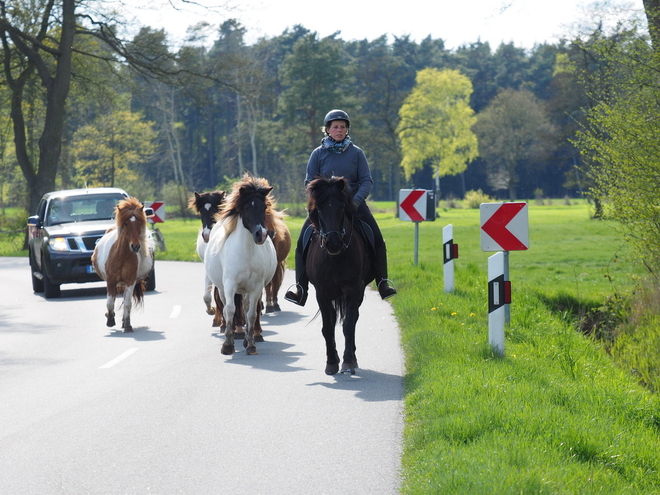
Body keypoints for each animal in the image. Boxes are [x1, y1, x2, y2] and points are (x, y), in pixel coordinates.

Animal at [91, 198, 153, 334]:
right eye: (126, 223)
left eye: (139, 223)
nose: (135, 246)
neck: (121, 256)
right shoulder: (110, 281)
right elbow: (109, 302)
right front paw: (110, 319)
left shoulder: (130, 281)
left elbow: (127, 303)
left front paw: (128, 325)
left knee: (125, 299)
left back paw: (124, 322)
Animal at [306, 176, 374, 374]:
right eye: (320, 209)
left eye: (342, 208)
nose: (333, 243)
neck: (335, 258)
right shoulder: (321, 292)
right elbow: (328, 328)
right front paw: (331, 362)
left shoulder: (353, 289)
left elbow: (349, 325)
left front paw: (348, 361)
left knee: (353, 319)